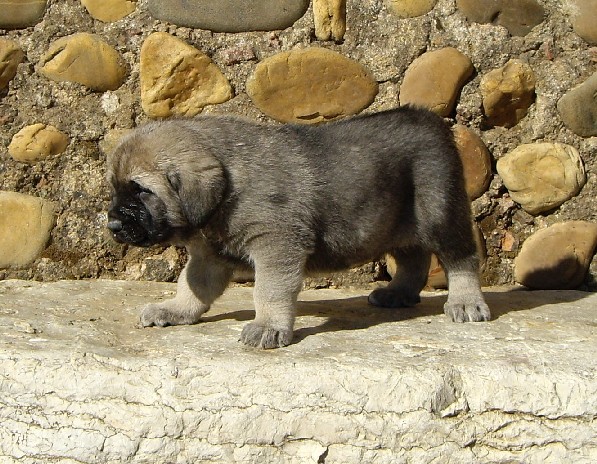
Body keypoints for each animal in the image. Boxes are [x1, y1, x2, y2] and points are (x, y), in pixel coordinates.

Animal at [107, 107, 488, 348]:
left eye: (141, 190)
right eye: (116, 188)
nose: (112, 224)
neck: (229, 187)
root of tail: (429, 118)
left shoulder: (276, 244)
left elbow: (269, 291)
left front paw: (268, 326)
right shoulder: (208, 256)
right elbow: (192, 288)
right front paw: (174, 310)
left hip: (441, 211)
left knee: (460, 259)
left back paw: (466, 302)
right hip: (398, 222)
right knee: (414, 258)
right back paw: (398, 293)